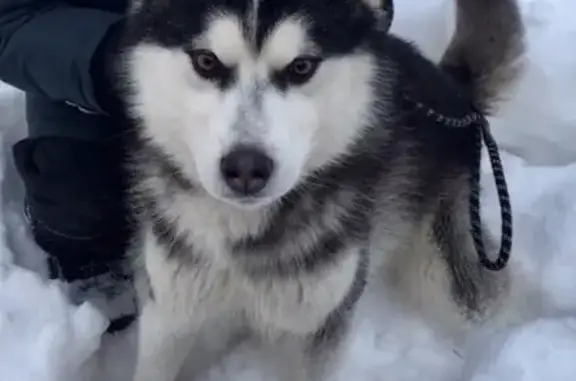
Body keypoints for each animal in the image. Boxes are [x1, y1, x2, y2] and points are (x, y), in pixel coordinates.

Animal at [120, 0, 528, 380]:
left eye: (301, 67)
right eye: (206, 61)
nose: (247, 168)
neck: (244, 233)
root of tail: (454, 88)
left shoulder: (319, 324)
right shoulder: (170, 311)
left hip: (446, 276)